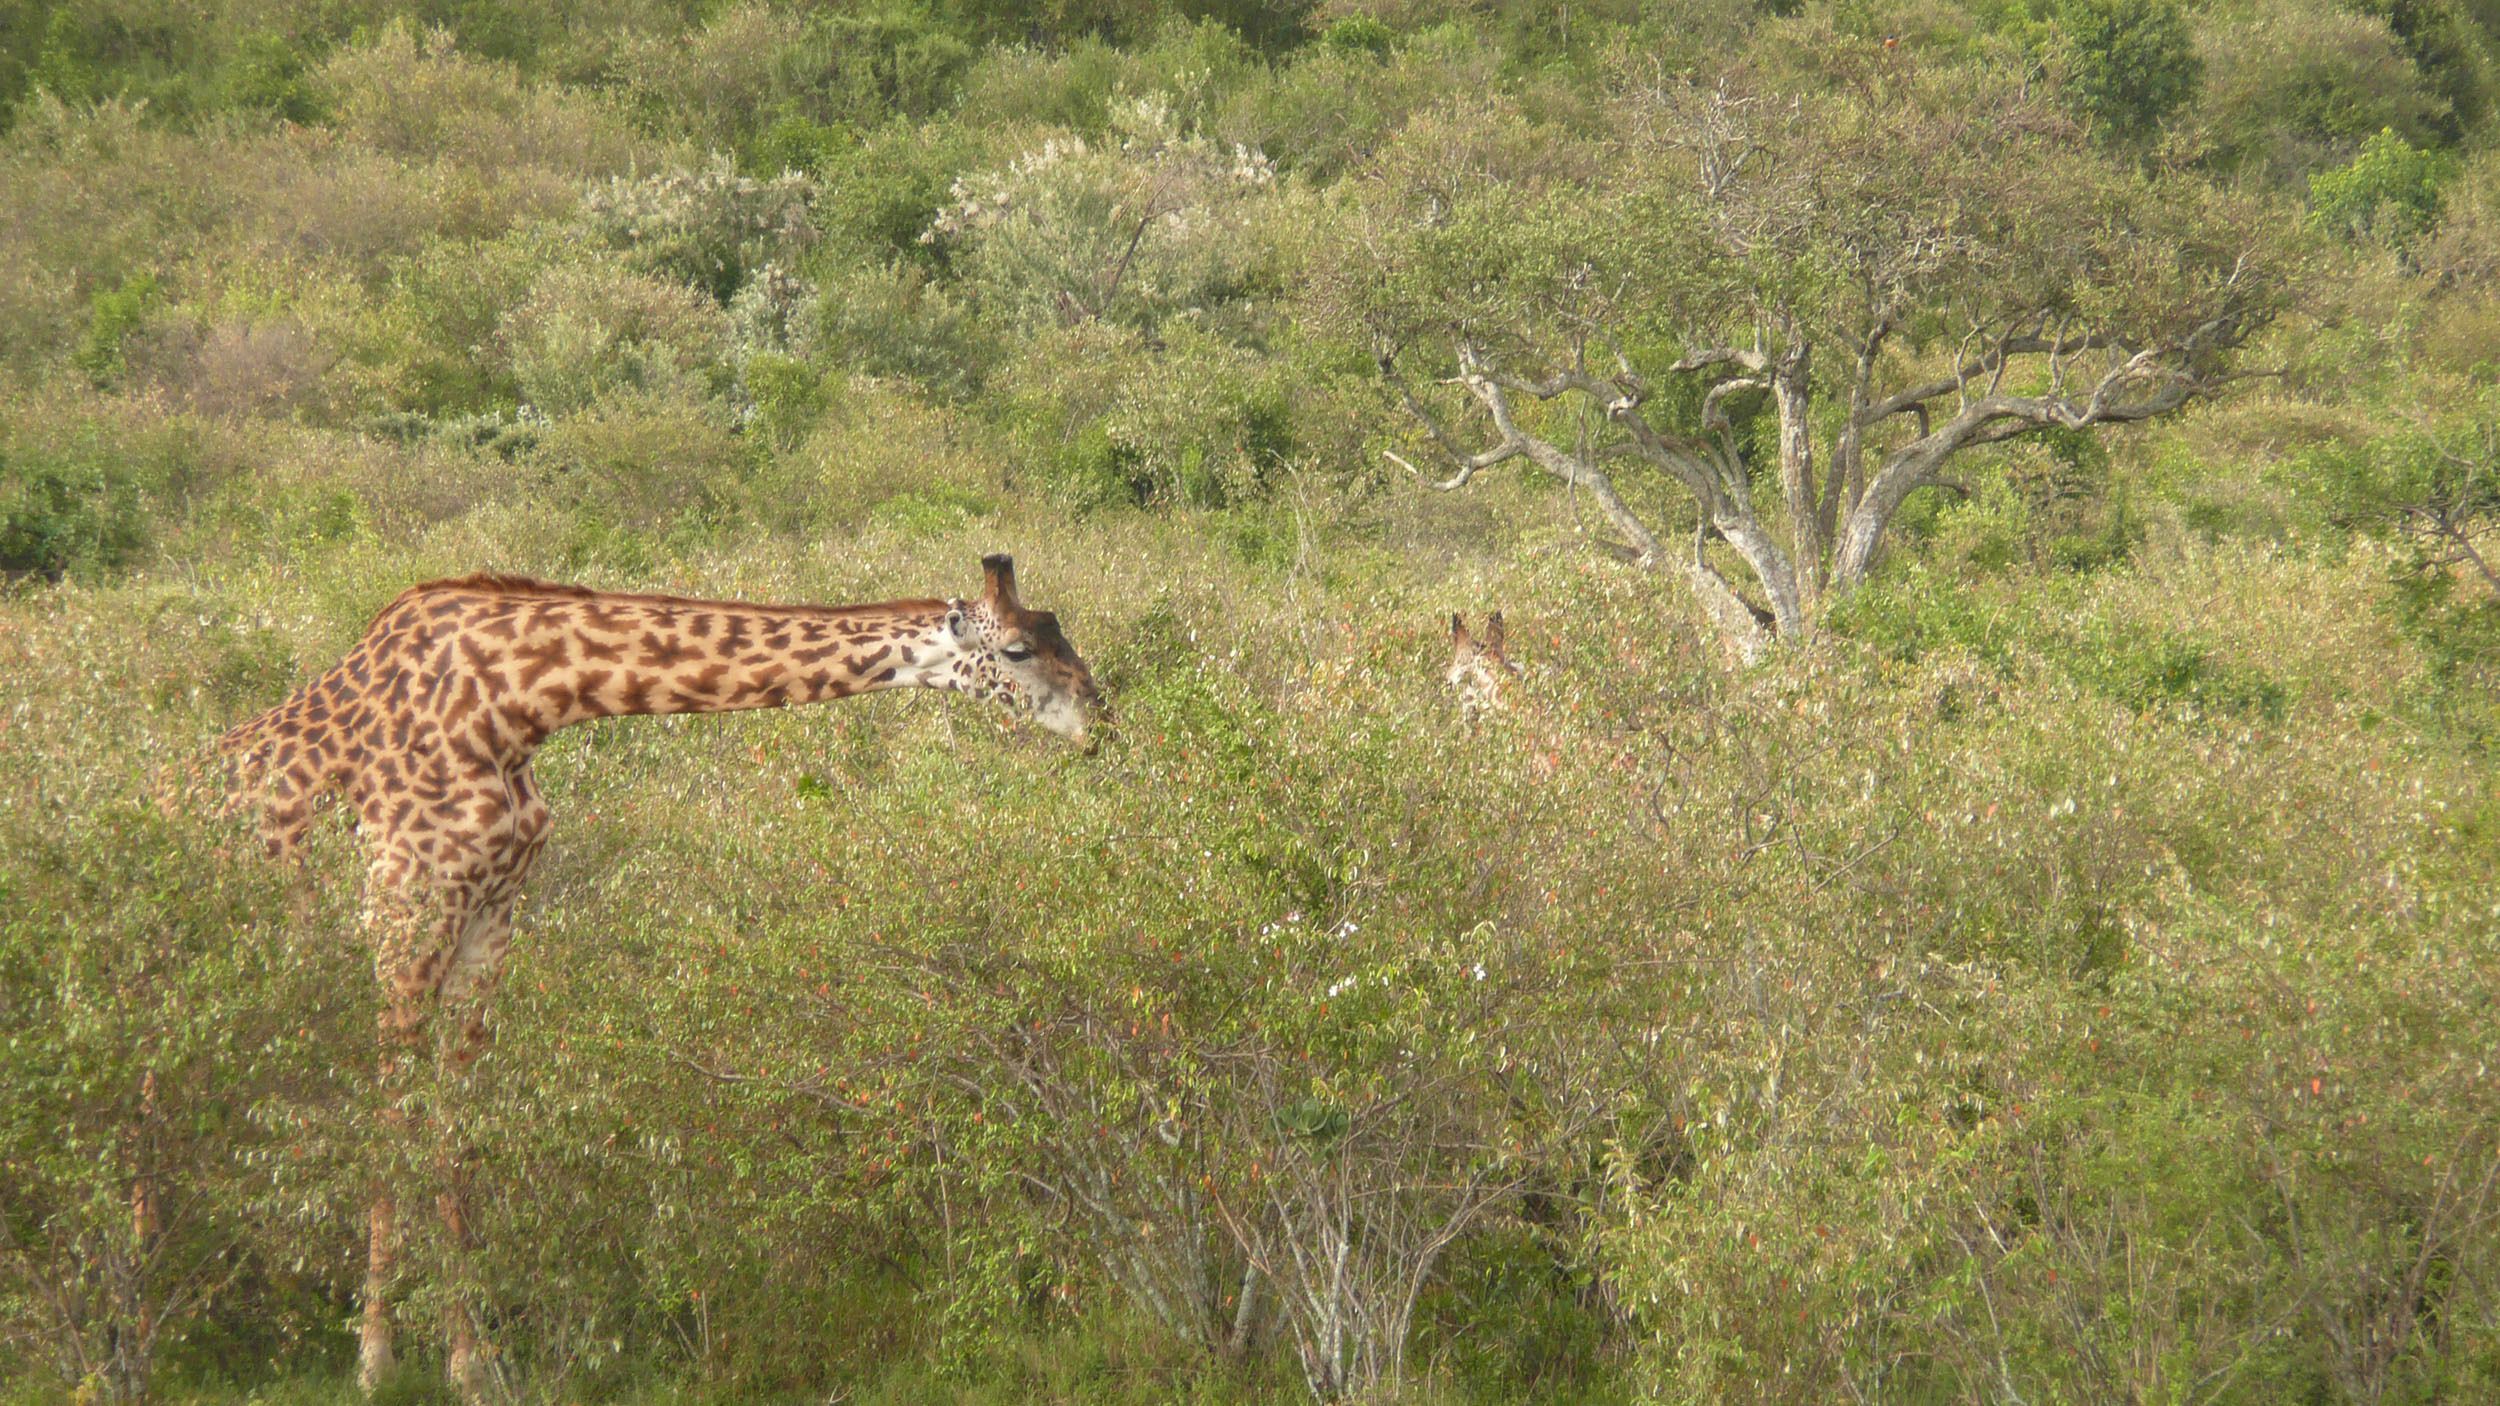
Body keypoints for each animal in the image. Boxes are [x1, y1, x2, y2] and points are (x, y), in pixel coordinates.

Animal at [217, 547, 1105, 1390]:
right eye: (1019, 650)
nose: (1101, 718)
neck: (515, 703)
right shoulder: (404, 913)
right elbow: (392, 1117)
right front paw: (374, 1358)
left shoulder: (491, 918)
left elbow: (454, 1123)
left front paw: (471, 1363)